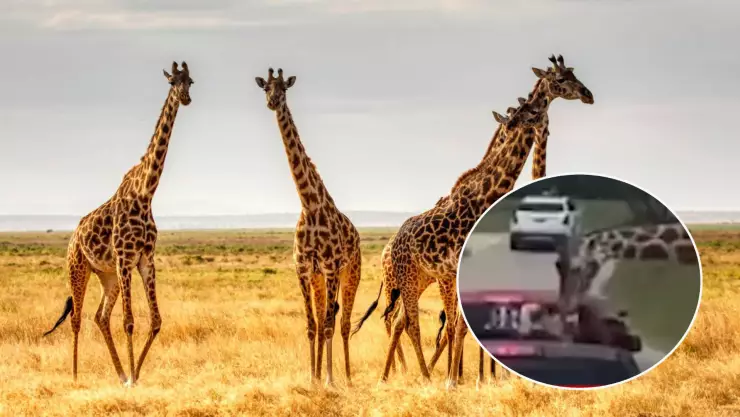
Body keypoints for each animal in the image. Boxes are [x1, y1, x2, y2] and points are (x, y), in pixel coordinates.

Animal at [43, 61, 194, 386]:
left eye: (191, 81)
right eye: (173, 81)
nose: (186, 98)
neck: (146, 193)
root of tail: (73, 236)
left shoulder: (145, 259)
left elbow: (156, 320)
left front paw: (133, 375)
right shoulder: (126, 258)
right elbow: (129, 321)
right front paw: (133, 379)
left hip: (107, 275)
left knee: (100, 316)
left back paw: (119, 372)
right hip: (78, 267)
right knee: (76, 318)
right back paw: (75, 376)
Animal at [255, 68, 362, 387]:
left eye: (284, 89)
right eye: (265, 87)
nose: (272, 102)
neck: (310, 205)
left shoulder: (330, 268)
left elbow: (327, 324)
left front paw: (329, 380)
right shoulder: (303, 269)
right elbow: (311, 324)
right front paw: (312, 378)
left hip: (350, 274)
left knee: (343, 322)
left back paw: (347, 377)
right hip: (318, 279)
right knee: (327, 317)